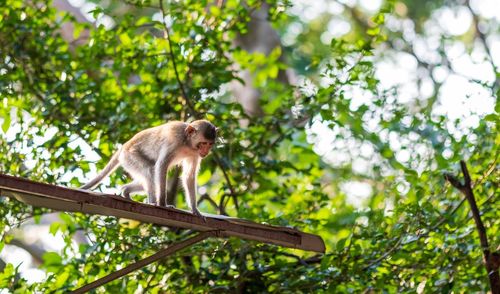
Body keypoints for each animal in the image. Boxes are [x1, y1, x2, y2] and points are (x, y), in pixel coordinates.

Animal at [81, 119, 218, 218]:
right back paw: (152, 202)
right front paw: (163, 204)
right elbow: (162, 165)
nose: (206, 151)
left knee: (147, 177)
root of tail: (123, 147)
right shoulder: (175, 140)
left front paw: (194, 209)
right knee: (150, 170)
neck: (188, 143)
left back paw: (125, 190)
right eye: (204, 143)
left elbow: (189, 176)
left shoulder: (195, 154)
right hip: (130, 157)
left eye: (210, 144)